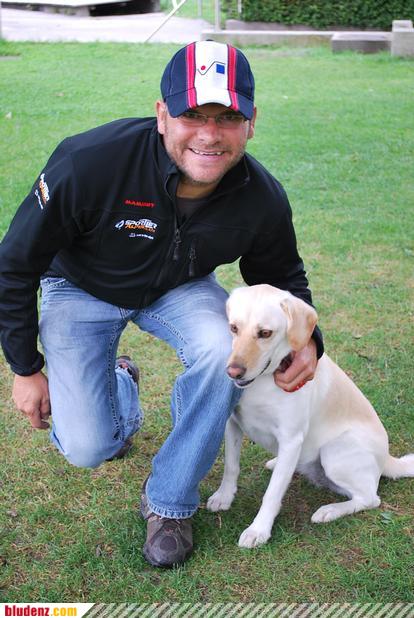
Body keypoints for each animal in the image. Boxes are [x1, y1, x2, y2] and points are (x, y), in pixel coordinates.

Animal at [207, 284, 414, 548]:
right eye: (233, 327)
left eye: (265, 333)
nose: (233, 372)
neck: (263, 382)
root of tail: (387, 458)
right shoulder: (232, 423)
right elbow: (231, 466)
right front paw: (224, 496)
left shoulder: (291, 438)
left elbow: (272, 493)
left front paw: (258, 530)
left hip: (334, 452)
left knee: (369, 498)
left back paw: (329, 510)